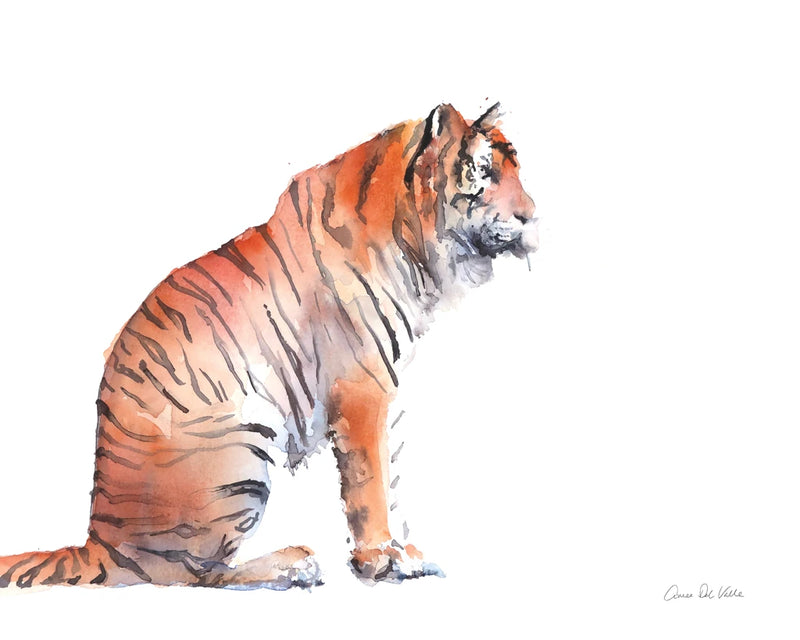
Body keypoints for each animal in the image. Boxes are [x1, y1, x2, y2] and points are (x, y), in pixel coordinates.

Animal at [0, 102, 538, 590]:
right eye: (484, 173)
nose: (534, 217)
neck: (415, 245)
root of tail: (98, 539)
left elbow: (386, 475)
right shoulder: (363, 390)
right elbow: (371, 483)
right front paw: (385, 560)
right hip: (243, 439)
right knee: (186, 572)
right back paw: (294, 564)